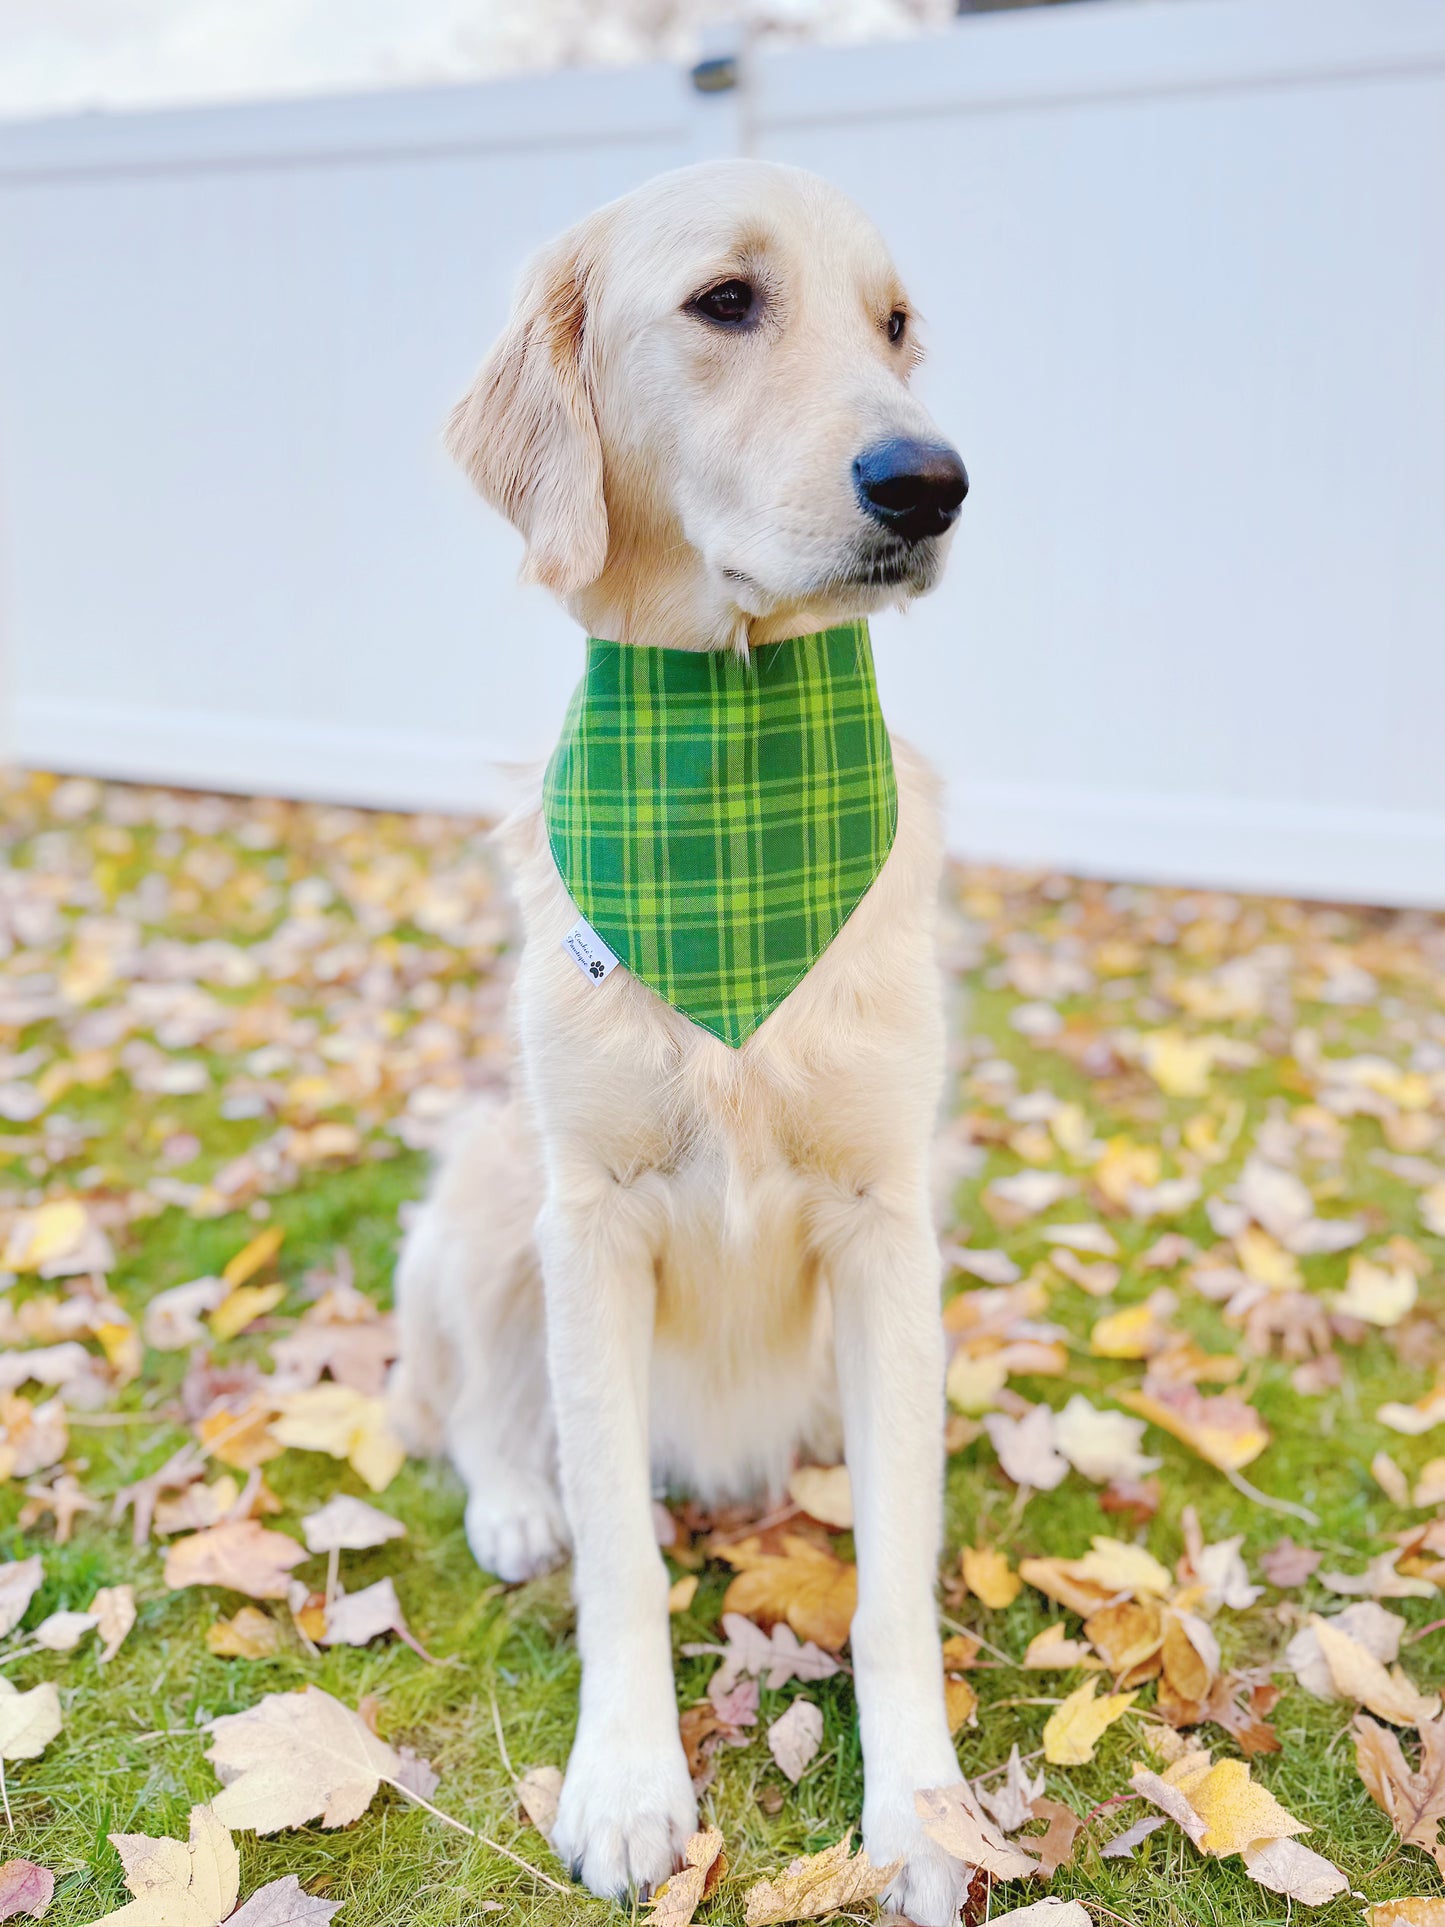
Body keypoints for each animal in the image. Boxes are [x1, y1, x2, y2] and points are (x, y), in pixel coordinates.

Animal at [393, 158, 974, 1919]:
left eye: (895, 323)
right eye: (728, 301)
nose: (932, 482)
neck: (732, 765)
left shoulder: (886, 1218)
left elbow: (895, 1575)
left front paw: (922, 1807)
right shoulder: (590, 1216)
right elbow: (620, 1557)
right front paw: (630, 1781)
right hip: (486, 1188)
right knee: (480, 1410)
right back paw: (516, 1506)